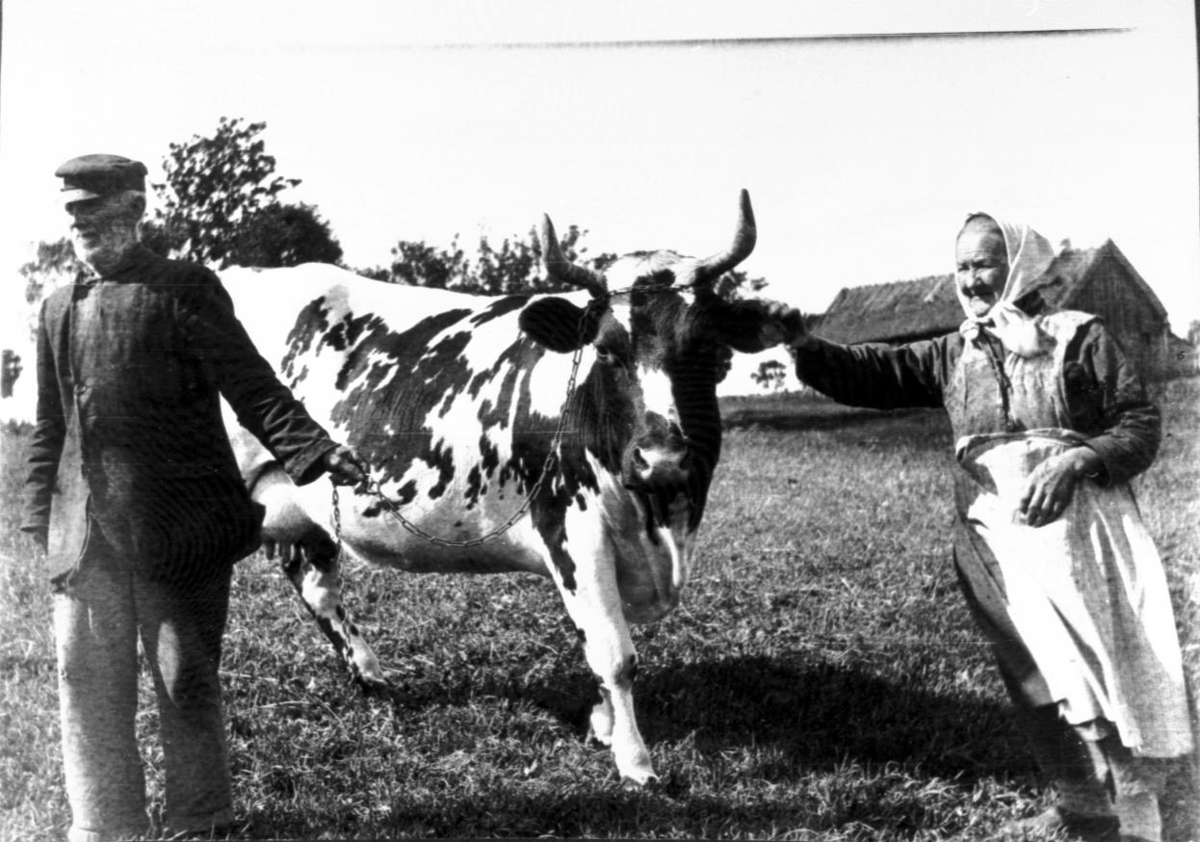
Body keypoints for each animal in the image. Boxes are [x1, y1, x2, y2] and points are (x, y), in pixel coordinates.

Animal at [220, 190, 795, 785]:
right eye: (606, 350)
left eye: (707, 350)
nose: (661, 458)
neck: (660, 524)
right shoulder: (572, 529)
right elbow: (615, 653)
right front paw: (635, 761)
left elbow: (595, 640)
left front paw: (604, 726)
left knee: (316, 584)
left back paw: (371, 676)